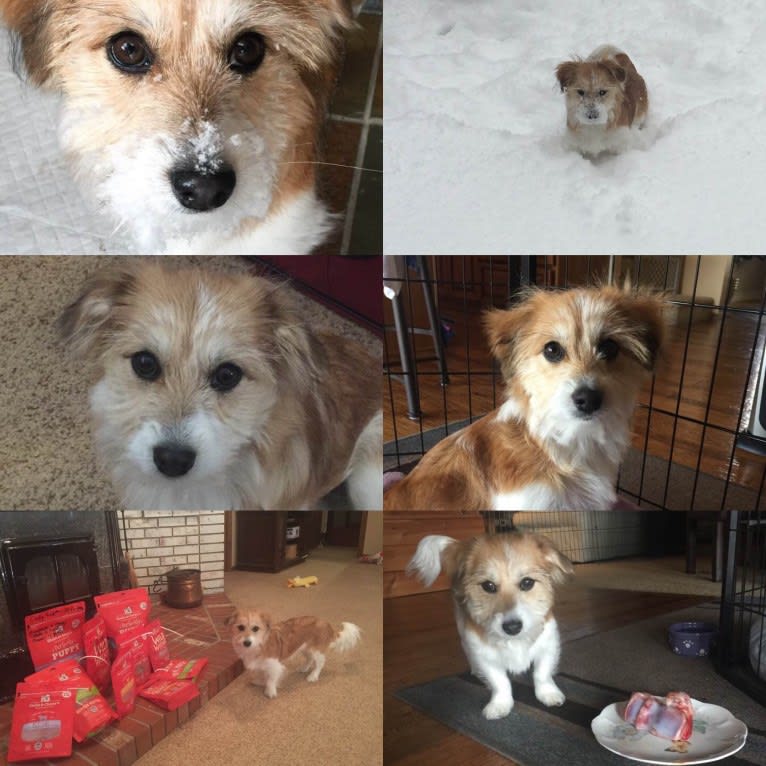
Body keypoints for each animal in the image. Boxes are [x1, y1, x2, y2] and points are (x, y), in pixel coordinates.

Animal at [226, 608, 362, 700]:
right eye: (240, 627)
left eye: (255, 628)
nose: (247, 642)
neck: (259, 645)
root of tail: (326, 623)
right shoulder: (261, 665)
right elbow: (262, 673)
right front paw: (260, 681)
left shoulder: (275, 665)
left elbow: (271, 679)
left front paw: (270, 691)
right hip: (305, 649)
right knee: (309, 659)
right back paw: (304, 668)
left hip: (316, 651)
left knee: (320, 663)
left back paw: (313, 676)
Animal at [412, 536, 572, 720]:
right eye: (488, 586)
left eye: (527, 583)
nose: (512, 627)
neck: (514, 641)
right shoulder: (484, 656)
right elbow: (500, 682)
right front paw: (500, 704)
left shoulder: (548, 644)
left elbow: (542, 673)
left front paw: (548, 693)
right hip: (462, 630)